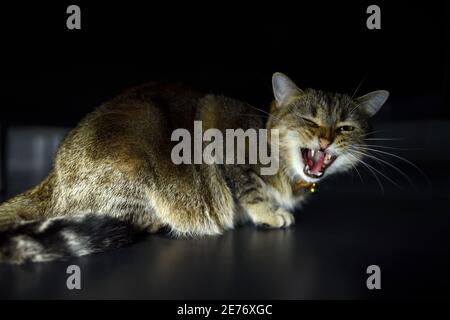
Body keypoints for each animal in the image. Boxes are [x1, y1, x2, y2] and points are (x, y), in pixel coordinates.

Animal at [0, 72, 386, 262]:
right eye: (309, 120)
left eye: (346, 128)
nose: (325, 140)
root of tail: (51, 179)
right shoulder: (221, 128)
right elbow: (249, 190)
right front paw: (269, 213)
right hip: (134, 154)